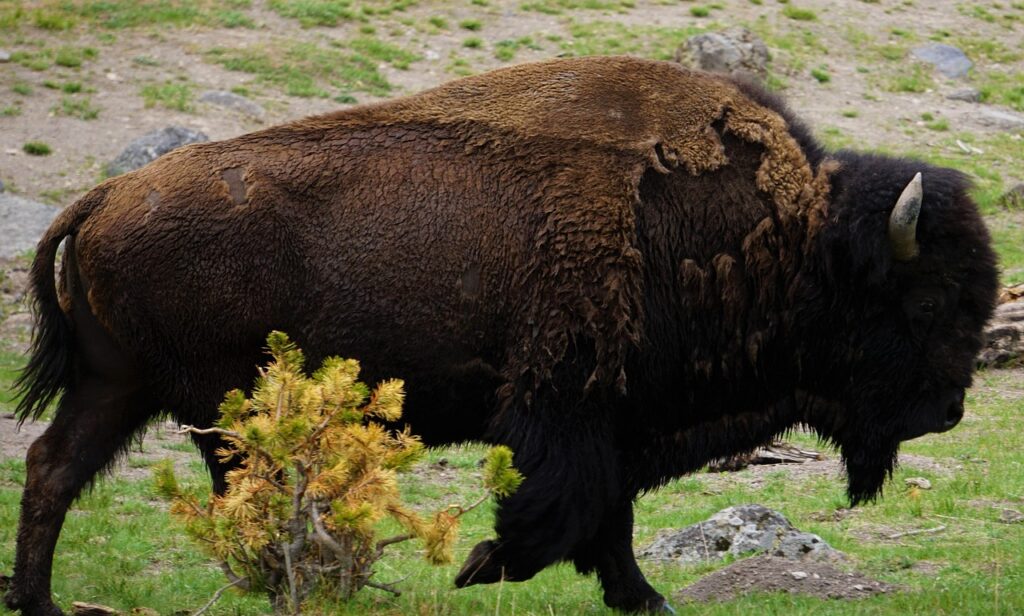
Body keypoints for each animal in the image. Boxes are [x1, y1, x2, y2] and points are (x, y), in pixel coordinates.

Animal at [4, 56, 998, 615]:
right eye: (924, 301)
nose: (949, 411)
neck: (796, 242)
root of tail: (103, 195)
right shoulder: (565, 407)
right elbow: (564, 511)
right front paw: (482, 566)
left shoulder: (614, 421)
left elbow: (608, 521)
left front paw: (644, 600)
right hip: (215, 406)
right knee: (220, 490)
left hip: (119, 386)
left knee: (53, 469)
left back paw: (42, 602)